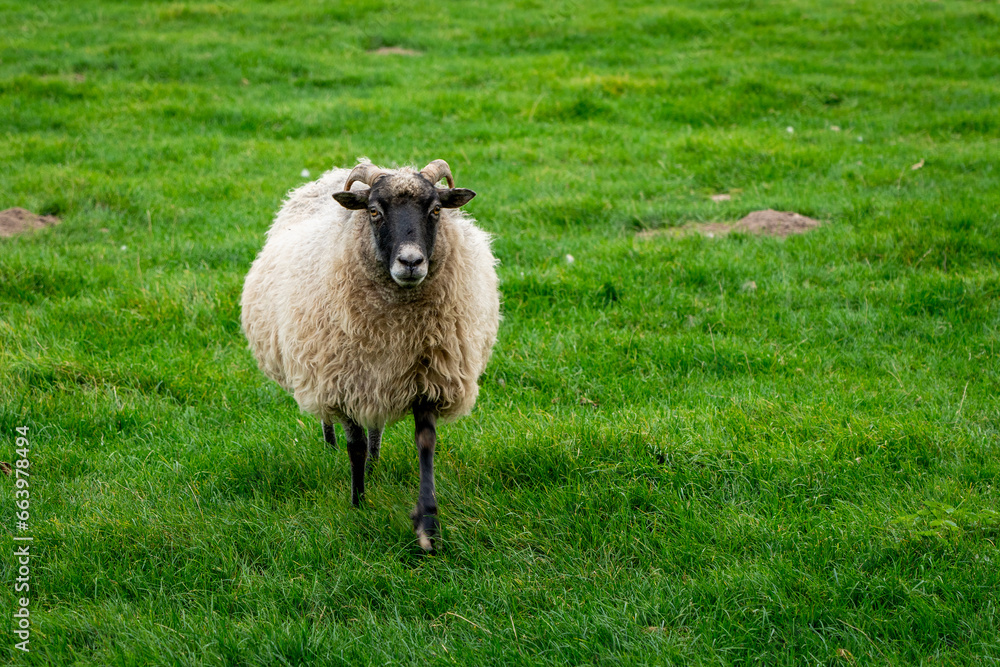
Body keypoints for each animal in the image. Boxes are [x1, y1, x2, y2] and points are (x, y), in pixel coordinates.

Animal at [240, 158, 500, 551]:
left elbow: (425, 444)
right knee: (337, 427)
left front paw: (428, 525)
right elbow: (355, 446)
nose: (411, 262)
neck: (396, 328)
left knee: (376, 426)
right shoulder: (342, 380)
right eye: (375, 212)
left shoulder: (427, 377)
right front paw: (358, 502)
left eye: (436, 210)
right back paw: (332, 447)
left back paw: (376, 465)